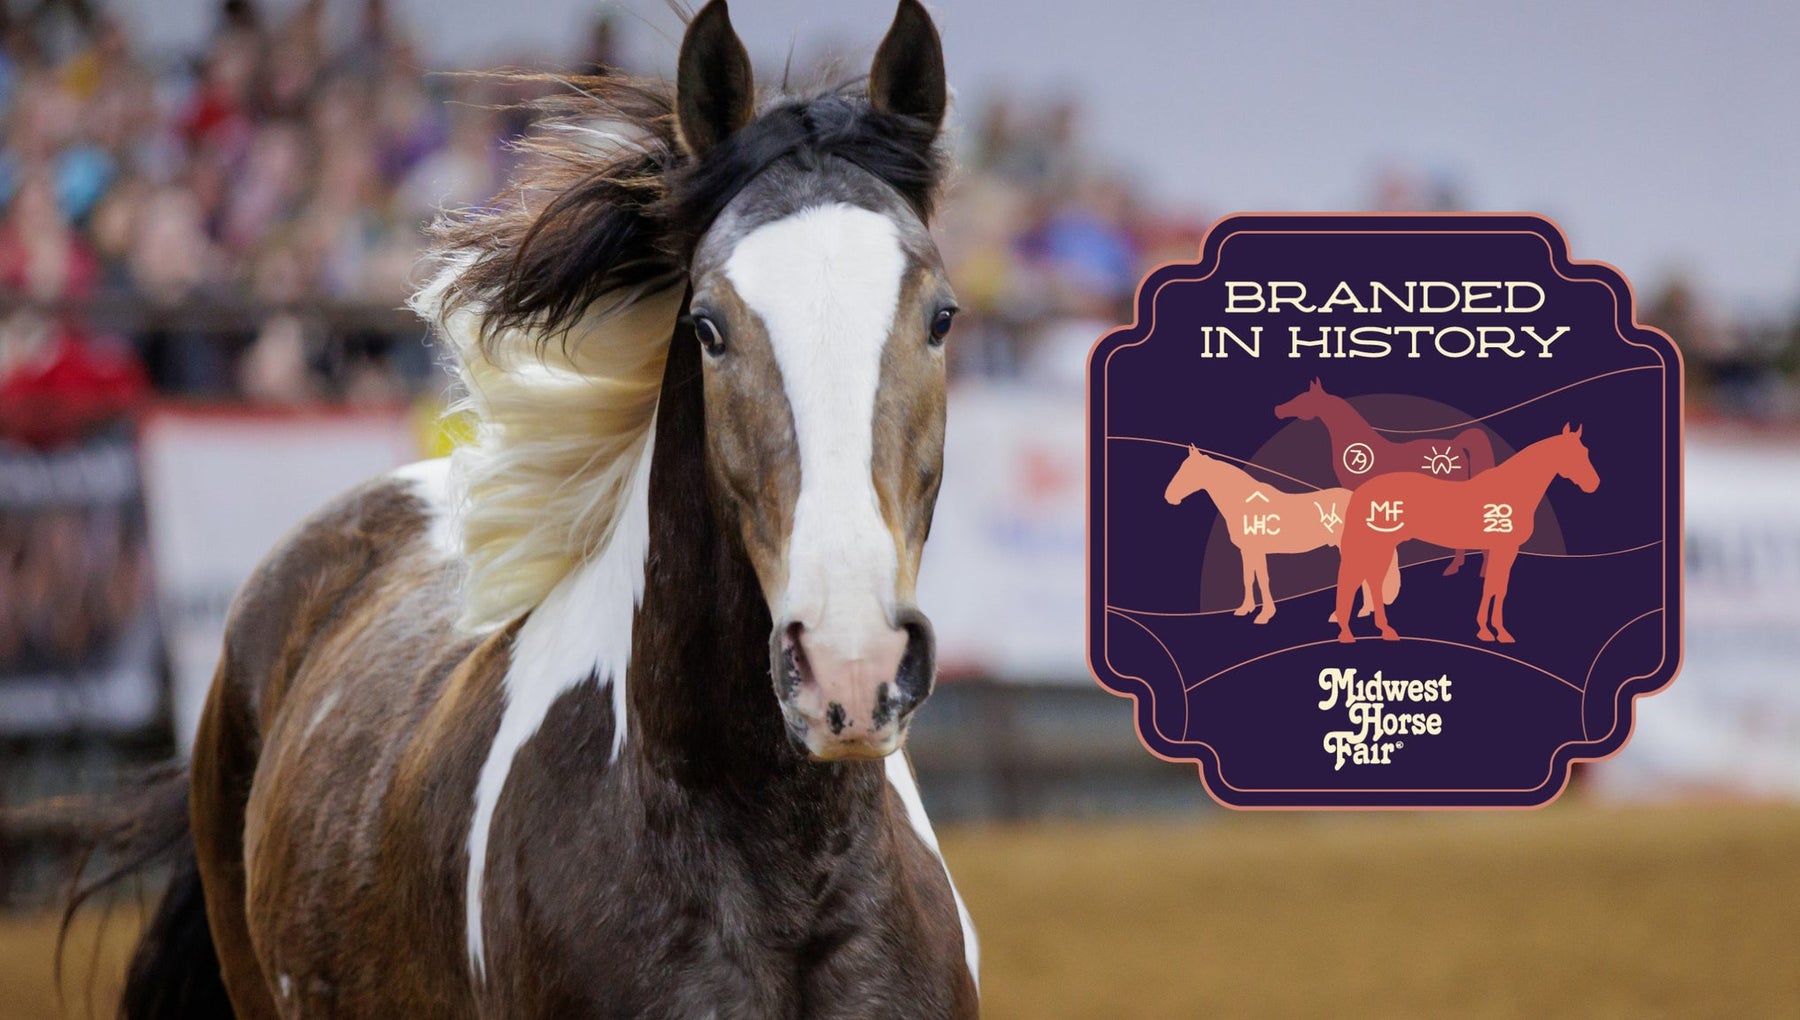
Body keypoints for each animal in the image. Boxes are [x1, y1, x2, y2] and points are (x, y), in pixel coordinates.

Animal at [1163, 445, 1397, 624]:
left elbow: (1263, 579)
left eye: (1188, 472)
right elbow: (1248, 578)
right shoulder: (1247, 551)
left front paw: (1265, 615)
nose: (1168, 497)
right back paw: (1365, 611)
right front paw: (1245, 609)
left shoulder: (1257, 550)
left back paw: (1342, 615)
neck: (1245, 503)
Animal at [1333, 424, 1599, 644]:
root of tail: (1362, 491)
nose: (1594, 484)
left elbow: (1496, 587)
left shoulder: (1503, 551)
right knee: (1359, 579)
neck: (1511, 490)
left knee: (1371, 580)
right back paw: (1353, 632)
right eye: (1575, 454)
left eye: (1586, 451)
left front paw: (1492, 630)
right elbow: (1494, 588)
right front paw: (1493, 632)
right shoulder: (1504, 549)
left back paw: (1383, 630)